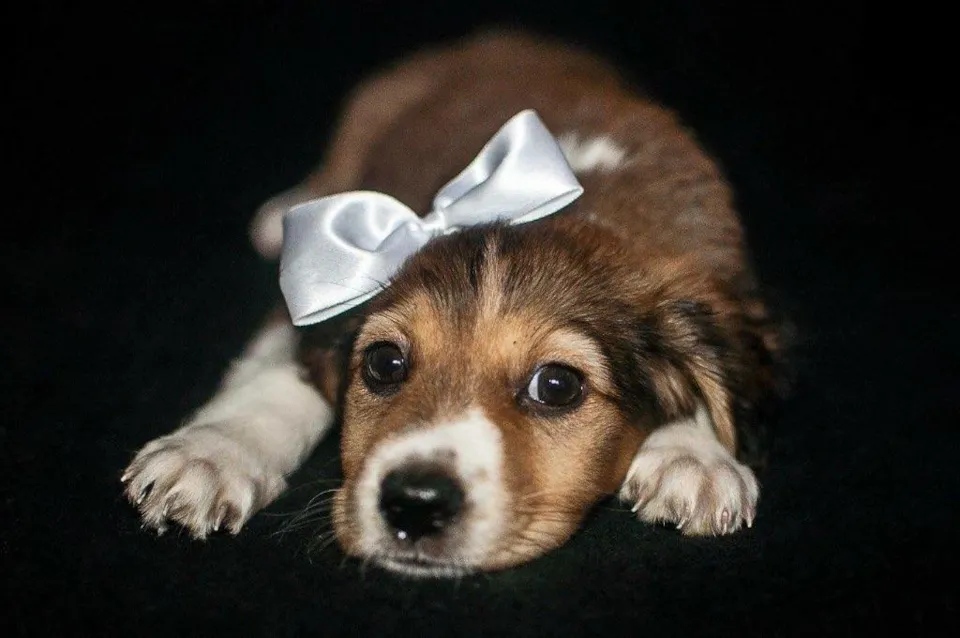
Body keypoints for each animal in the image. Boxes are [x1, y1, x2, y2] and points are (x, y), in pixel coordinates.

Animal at [122, 30, 786, 577]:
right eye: (383, 363)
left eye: (557, 386)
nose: (414, 504)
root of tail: (497, 39)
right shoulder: (308, 299)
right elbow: (276, 376)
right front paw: (209, 453)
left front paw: (693, 457)